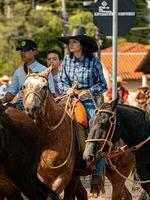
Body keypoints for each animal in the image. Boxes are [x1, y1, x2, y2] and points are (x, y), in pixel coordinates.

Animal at [22, 68, 135, 199]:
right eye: (24, 86)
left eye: (44, 87)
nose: (31, 109)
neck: (50, 135)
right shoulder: (44, 177)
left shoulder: (63, 176)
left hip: (119, 174)